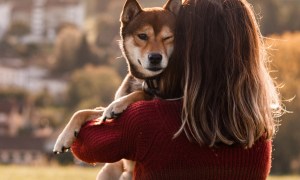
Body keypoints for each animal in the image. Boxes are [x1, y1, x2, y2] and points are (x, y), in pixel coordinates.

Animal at [53, 0, 182, 179]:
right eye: (142, 36)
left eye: (168, 37)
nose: (155, 57)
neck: (145, 80)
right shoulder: (103, 114)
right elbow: (82, 112)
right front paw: (63, 138)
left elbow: (140, 94)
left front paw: (118, 105)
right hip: (108, 170)